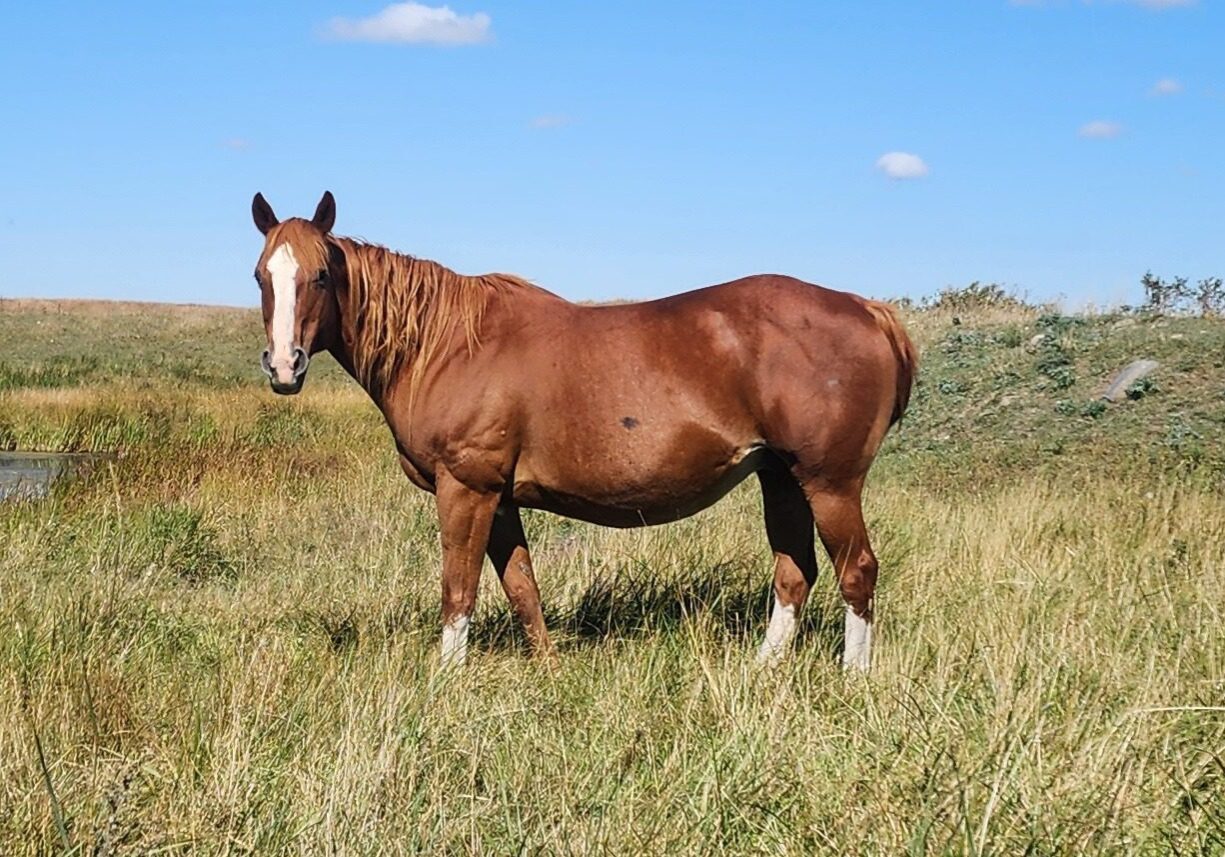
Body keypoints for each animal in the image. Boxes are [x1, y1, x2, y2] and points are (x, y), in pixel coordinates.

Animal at [250, 191, 917, 670]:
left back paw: (853, 677)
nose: (284, 366)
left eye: (320, 275)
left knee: (857, 570)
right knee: (794, 571)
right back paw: (763, 669)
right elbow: (521, 585)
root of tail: (869, 311)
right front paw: (547, 668)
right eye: (261, 275)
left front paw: (446, 677)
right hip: (780, 477)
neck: (448, 345)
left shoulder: (465, 488)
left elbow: (459, 588)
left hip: (829, 483)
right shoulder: (499, 498)